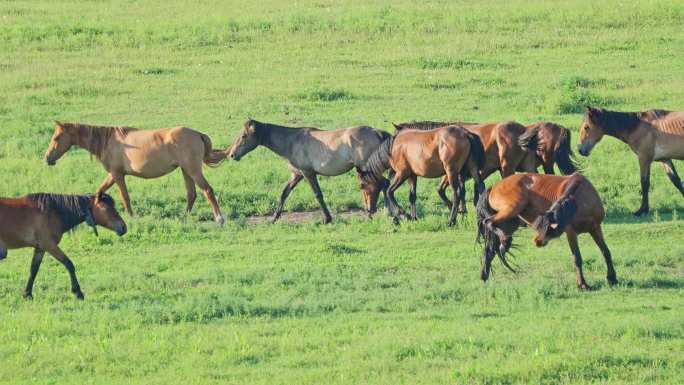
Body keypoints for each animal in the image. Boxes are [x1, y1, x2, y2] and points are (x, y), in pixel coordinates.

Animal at [44, 121, 230, 224]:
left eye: (56, 138)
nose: (47, 158)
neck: (108, 141)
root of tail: (198, 134)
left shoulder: (117, 174)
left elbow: (125, 197)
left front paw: (131, 217)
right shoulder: (113, 175)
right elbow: (99, 191)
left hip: (193, 170)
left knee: (207, 191)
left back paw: (219, 218)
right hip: (186, 170)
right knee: (191, 194)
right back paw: (184, 217)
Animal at [228, 118, 390, 224]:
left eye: (243, 136)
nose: (232, 155)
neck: (292, 142)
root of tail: (376, 132)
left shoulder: (308, 173)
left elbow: (318, 194)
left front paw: (327, 218)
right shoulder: (296, 175)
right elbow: (284, 194)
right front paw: (274, 218)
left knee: (384, 184)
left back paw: (386, 212)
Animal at [392, 120, 536, 210]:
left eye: (395, 137)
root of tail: (523, 131)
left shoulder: (450, 172)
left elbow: (448, 190)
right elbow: (457, 190)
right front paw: (462, 210)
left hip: (507, 168)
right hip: (527, 167)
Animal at [476, 172, 620, 290]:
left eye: (546, 226)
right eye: (539, 225)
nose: (537, 241)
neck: (581, 199)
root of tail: (494, 186)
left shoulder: (595, 228)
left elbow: (606, 252)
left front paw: (612, 279)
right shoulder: (571, 232)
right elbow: (577, 258)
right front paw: (583, 285)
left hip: (510, 222)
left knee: (490, 249)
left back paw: (485, 275)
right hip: (511, 209)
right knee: (489, 222)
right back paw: (505, 242)